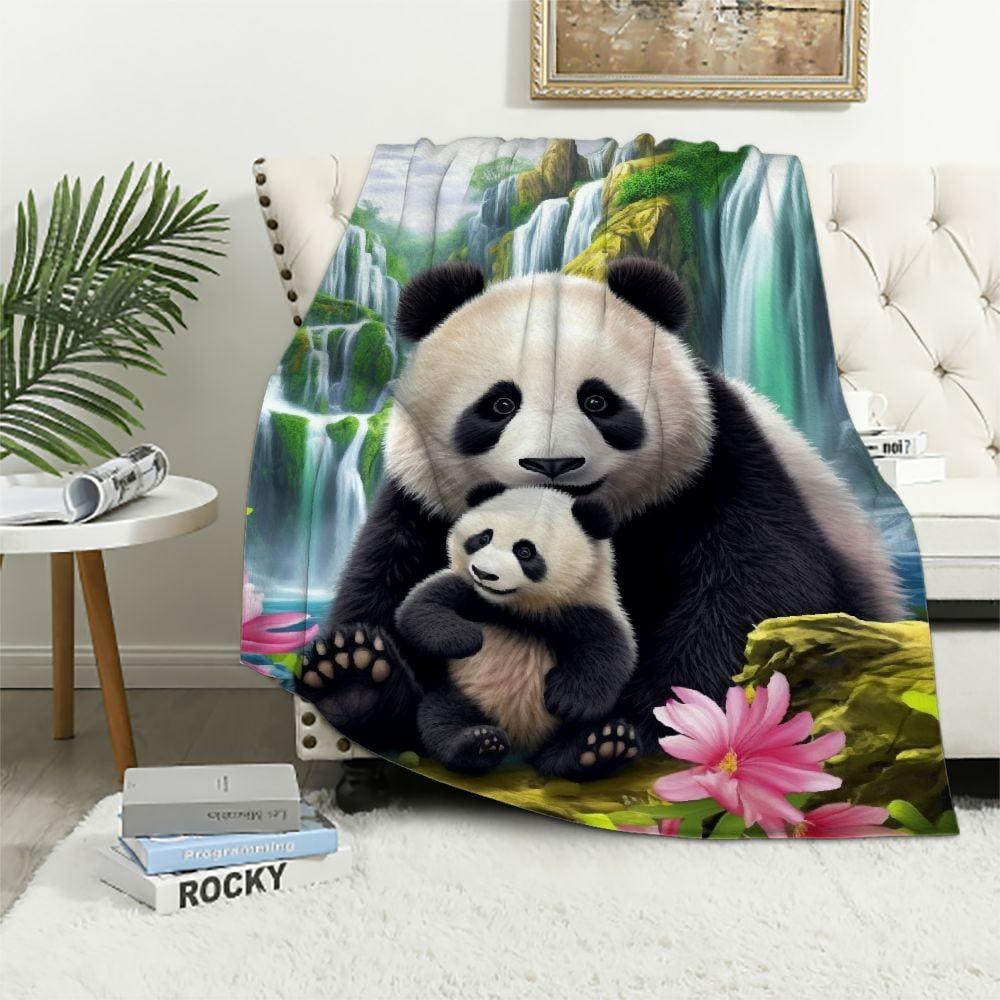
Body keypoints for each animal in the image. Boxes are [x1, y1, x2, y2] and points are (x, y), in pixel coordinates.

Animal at [393, 483, 638, 780]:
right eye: (483, 537)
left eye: (524, 552)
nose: (484, 573)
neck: (519, 608)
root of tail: (521, 747)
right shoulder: (471, 592)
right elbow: (420, 608)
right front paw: (468, 638)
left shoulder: (584, 608)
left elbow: (607, 651)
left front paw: (567, 699)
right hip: (466, 693)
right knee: (442, 716)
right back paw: (480, 745)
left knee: (572, 739)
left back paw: (601, 748)